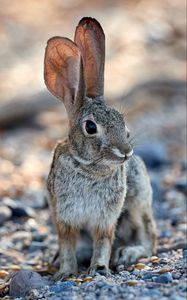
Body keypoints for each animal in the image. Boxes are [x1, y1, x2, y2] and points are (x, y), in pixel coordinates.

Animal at [43, 16, 156, 280]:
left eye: (122, 121)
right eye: (91, 127)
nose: (125, 152)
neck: (89, 168)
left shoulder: (106, 218)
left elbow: (103, 241)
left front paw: (99, 269)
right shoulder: (63, 217)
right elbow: (67, 245)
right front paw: (64, 272)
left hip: (138, 204)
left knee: (149, 239)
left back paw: (127, 253)